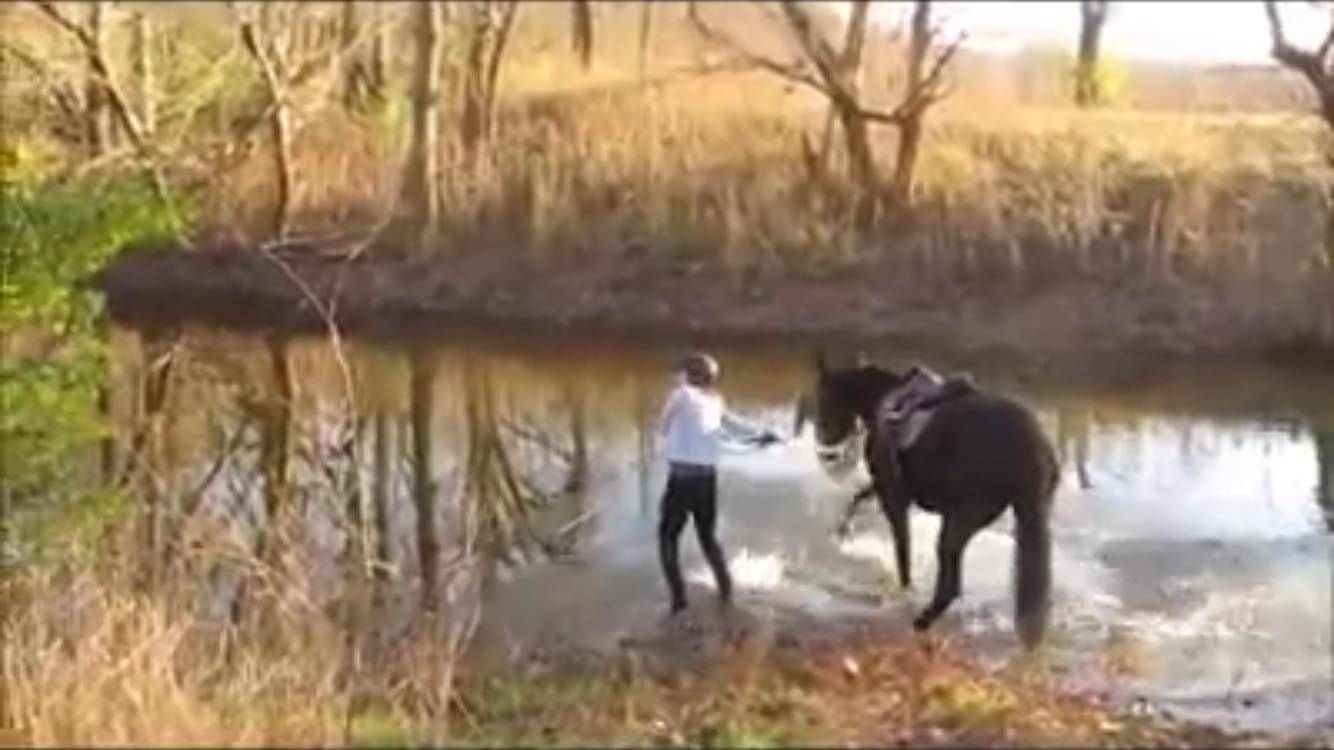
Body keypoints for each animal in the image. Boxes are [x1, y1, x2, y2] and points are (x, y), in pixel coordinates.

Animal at [797, 355, 1059, 648]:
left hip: (960, 520)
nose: (826, 450)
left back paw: (921, 622)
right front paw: (842, 532)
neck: (882, 400)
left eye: (822, 399)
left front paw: (904, 590)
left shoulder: (893, 496)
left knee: (949, 585)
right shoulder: (885, 487)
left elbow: (902, 549)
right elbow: (858, 498)